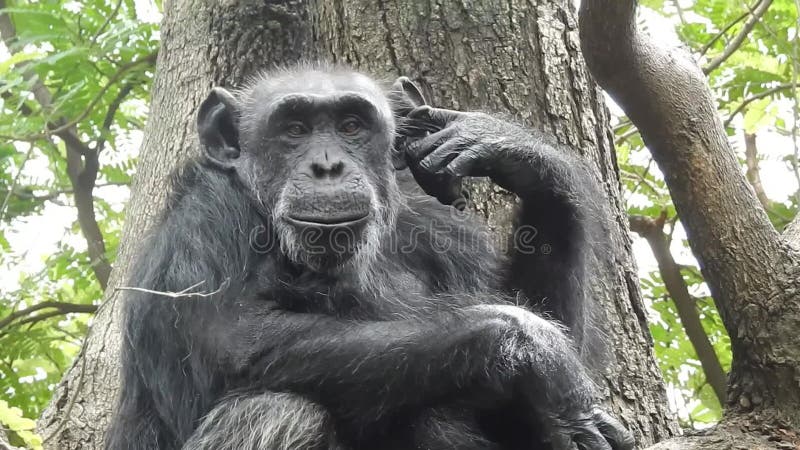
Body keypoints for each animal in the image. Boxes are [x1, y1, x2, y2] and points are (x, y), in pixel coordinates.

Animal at [104, 62, 632, 450]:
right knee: (279, 411)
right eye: (294, 129)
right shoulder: (206, 218)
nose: (327, 166)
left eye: (351, 125)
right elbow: (234, 337)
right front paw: (534, 349)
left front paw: (509, 148)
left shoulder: (446, 234)